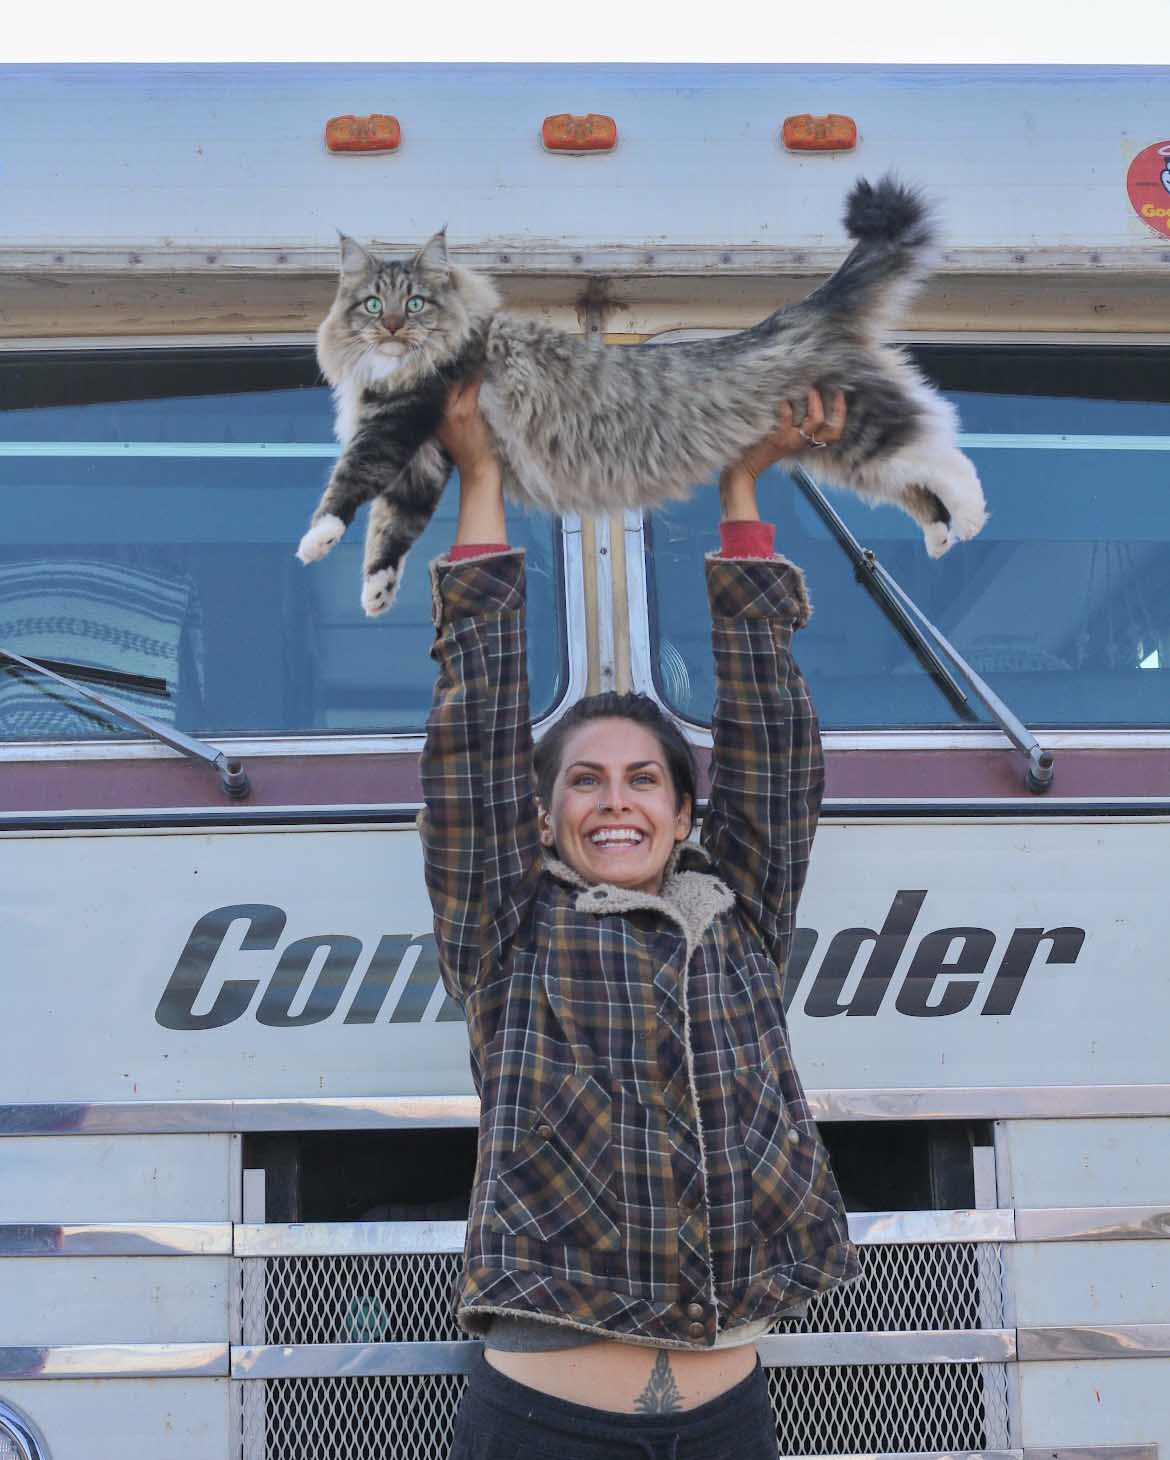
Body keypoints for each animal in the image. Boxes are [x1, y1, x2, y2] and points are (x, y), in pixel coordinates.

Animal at [296, 176, 981, 616]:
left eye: (414, 304)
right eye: (372, 305)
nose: (391, 328)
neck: (397, 368)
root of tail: (799, 313)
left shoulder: (401, 422)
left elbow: (349, 483)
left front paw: (316, 540)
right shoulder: (424, 460)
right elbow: (392, 528)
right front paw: (376, 591)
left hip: (864, 424)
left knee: (945, 450)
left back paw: (971, 516)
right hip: (838, 448)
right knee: (916, 484)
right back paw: (941, 536)